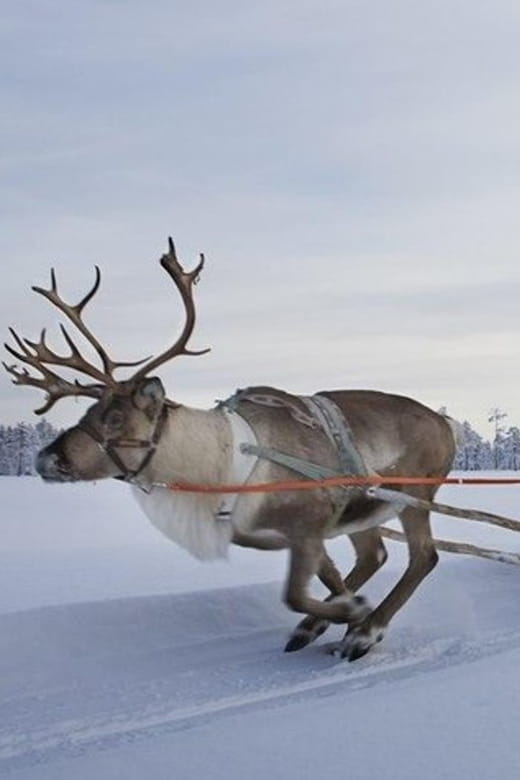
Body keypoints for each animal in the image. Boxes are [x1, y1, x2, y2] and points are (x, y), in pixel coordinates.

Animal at [3, 238, 459, 661]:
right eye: (89, 410)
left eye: (115, 417)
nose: (46, 458)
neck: (221, 464)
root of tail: (447, 425)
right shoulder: (296, 530)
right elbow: (328, 579)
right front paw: (339, 614)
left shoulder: (308, 521)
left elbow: (295, 593)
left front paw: (354, 617)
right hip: (367, 508)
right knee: (375, 554)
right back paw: (330, 629)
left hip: (414, 494)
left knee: (425, 556)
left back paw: (366, 632)